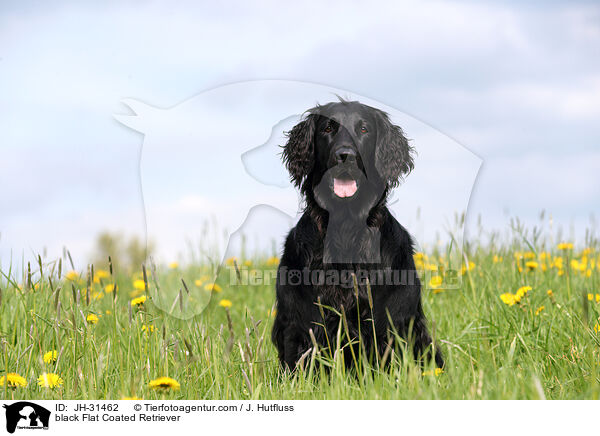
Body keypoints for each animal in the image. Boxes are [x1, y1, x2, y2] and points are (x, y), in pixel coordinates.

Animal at [270, 100, 442, 370]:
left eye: (364, 129)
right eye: (328, 128)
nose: (346, 156)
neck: (346, 228)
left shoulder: (393, 320)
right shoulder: (298, 324)